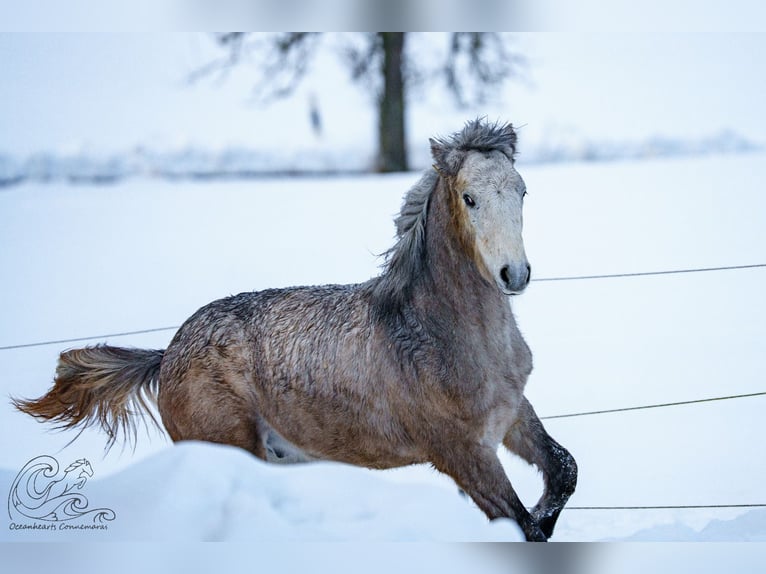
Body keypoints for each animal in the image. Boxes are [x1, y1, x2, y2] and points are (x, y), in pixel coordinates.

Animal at [13, 119, 577, 541]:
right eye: (469, 198)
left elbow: (563, 472)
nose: (514, 274)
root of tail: (166, 354)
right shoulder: (461, 452)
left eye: (522, 191)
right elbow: (521, 525)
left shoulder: (512, 416)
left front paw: (546, 512)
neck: (435, 333)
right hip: (230, 447)